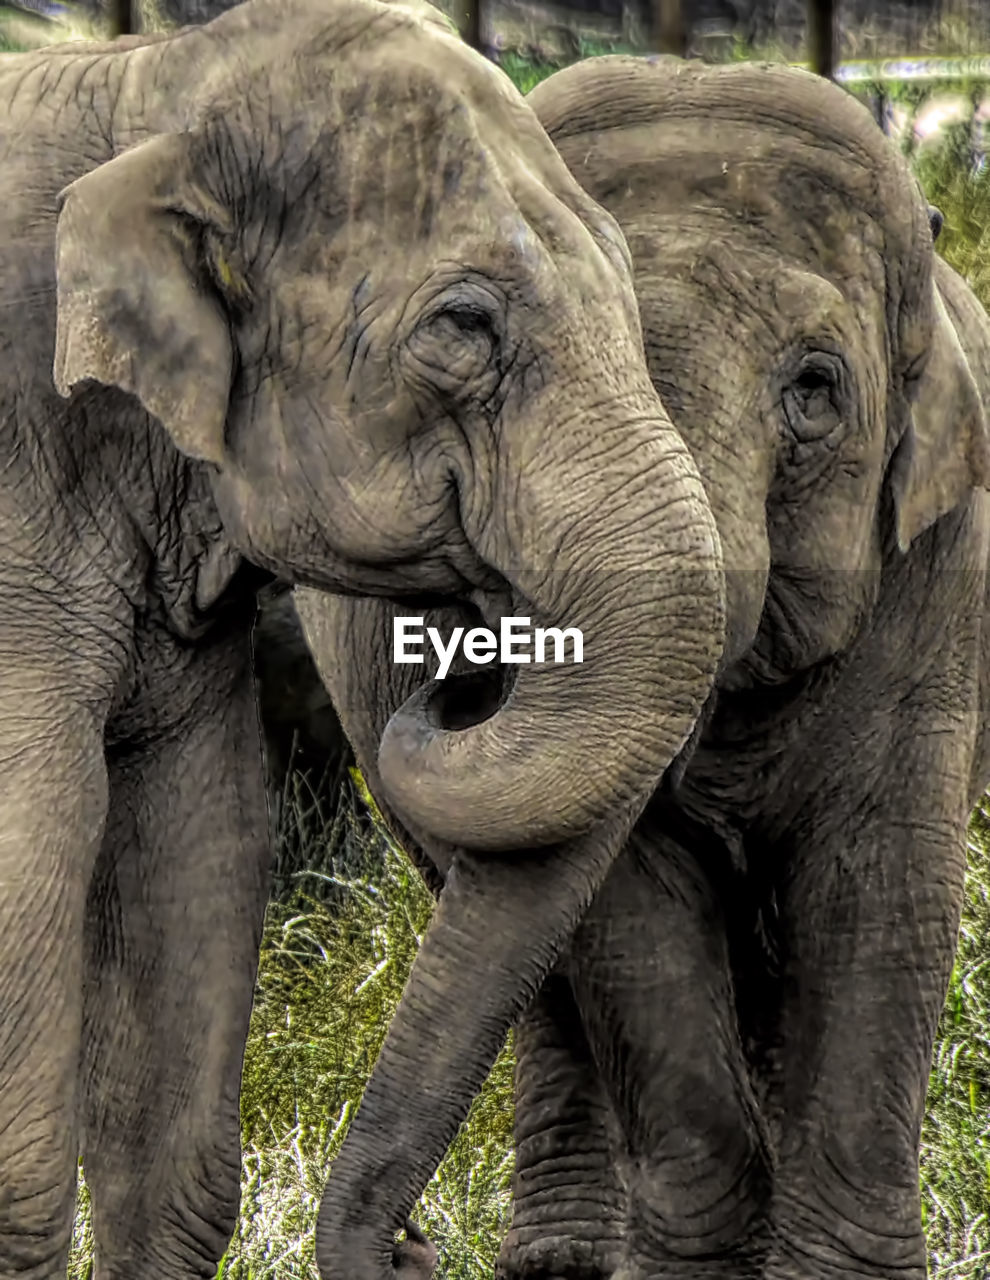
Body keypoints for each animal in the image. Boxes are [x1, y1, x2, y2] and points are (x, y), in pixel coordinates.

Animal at [285, 52, 990, 1280]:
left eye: (816, 388)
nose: (413, 1245)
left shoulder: (938, 581)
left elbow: (883, 884)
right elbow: (628, 909)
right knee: (536, 983)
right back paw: (563, 1262)